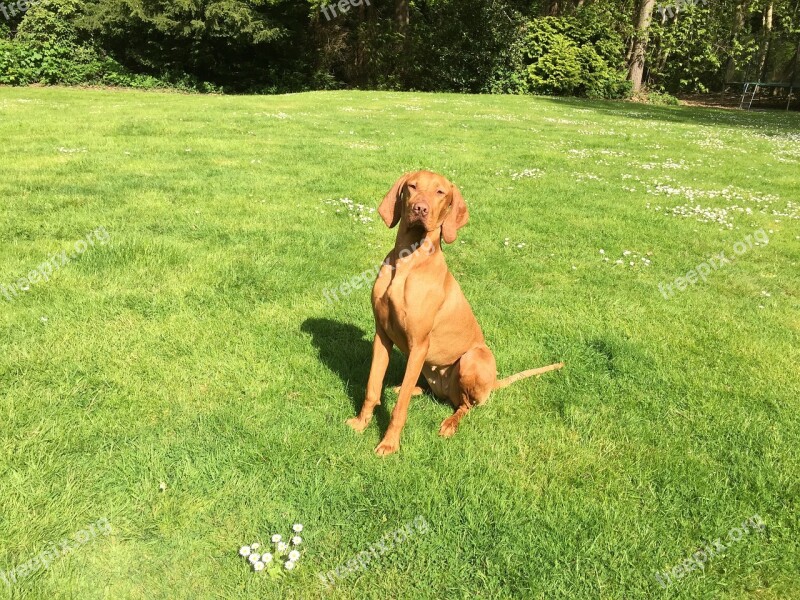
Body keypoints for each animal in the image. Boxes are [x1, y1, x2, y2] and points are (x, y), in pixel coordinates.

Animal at [344, 170, 564, 454]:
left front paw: (389, 443)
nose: (420, 208)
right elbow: (372, 388)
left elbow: (400, 409)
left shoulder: (419, 344)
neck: (408, 260)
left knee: (465, 405)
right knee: (425, 391)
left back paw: (450, 422)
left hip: (472, 359)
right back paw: (408, 389)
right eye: (412, 187)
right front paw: (361, 423)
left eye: (440, 193)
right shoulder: (382, 335)